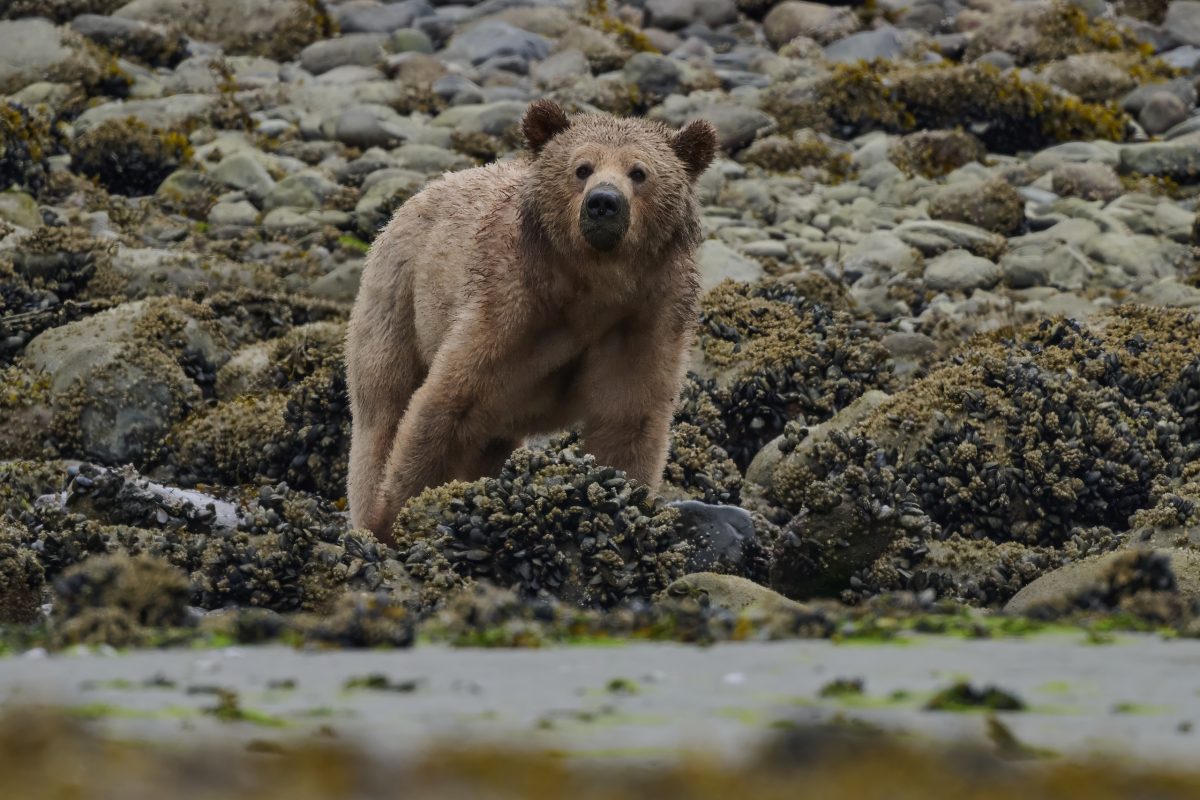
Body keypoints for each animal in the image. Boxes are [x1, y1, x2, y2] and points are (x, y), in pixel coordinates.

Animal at [345, 99, 719, 541]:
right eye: (582, 167)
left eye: (639, 171)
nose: (603, 202)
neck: (592, 288)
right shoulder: (510, 310)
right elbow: (448, 404)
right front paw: (395, 517)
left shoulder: (644, 319)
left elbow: (628, 419)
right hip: (398, 299)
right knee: (383, 407)